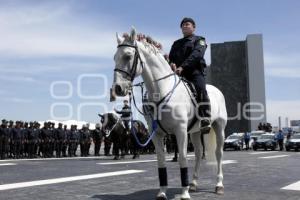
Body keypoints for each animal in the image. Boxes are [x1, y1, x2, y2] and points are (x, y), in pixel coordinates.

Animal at [110, 28, 227, 200]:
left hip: (219, 128)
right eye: (114, 57)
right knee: (198, 153)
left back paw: (218, 185)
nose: (118, 88)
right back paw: (193, 184)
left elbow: (183, 158)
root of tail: (217, 90)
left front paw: (184, 193)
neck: (162, 90)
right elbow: (161, 162)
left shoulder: (180, 131)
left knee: (218, 154)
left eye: (128, 56)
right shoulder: (157, 134)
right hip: (195, 132)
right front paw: (162, 192)